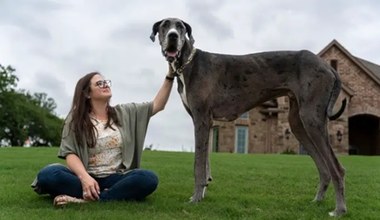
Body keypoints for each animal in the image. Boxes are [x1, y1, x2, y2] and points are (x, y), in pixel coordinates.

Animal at [151, 17, 348, 217]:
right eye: (165, 26)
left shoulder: (201, 119)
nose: (173, 36)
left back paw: (339, 209)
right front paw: (202, 192)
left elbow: (198, 165)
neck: (187, 63)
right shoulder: (206, 122)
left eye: (180, 27)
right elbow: (205, 162)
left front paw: (196, 198)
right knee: (324, 168)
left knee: (337, 168)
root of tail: (328, 67)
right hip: (298, 124)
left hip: (311, 120)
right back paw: (317, 201)